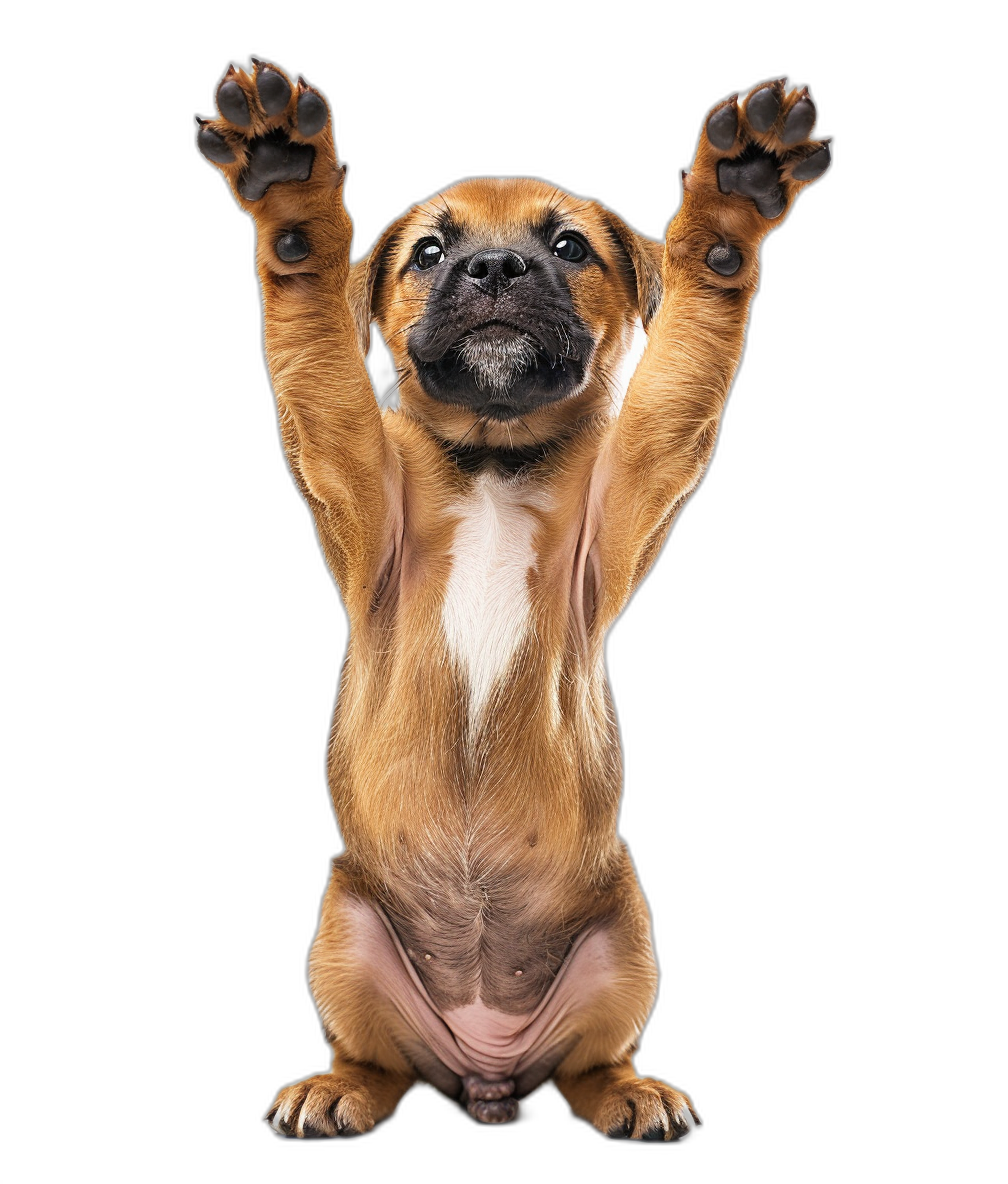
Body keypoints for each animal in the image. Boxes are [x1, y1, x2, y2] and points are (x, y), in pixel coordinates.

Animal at [195, 60, 829, 1141]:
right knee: (377, 1058)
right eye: (431, 251)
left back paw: (632, 1092)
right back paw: (336, 1088)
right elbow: (308, 322)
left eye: (568, 246)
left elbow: (692, 342)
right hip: (344, 931)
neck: (494, 456)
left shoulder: (632, 483)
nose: (494, 270)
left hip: (625, 940)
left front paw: (733, 202)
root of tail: (485, 1067)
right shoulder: (354, 477)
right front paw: (286, 180)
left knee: (588, 1061)